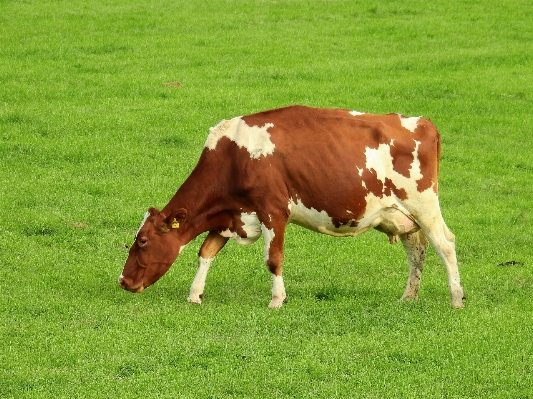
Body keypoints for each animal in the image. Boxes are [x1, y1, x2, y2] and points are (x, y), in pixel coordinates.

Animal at [117, 104, 466, 308]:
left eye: (143, 241)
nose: (123, 281)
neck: (234, 155)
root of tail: (423, 122)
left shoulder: (273, 211)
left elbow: (274, 259)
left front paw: (276, 300)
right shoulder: (231, 215)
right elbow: (206, 252)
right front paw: (195, 294)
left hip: (424, 205)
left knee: (445, 244)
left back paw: (456, 298)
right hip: (401, 215)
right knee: (417, 250)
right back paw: (408, 296)